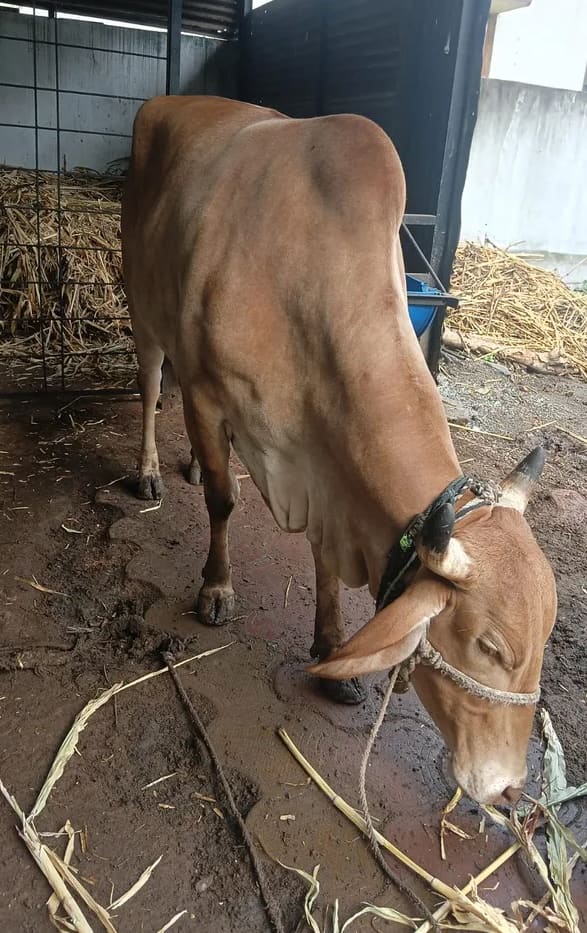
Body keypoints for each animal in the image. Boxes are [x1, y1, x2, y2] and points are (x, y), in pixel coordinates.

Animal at [121, 96, 557, 806]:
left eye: (546, 635)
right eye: (489, 646)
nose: (509, 790)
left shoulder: (326, 470)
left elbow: (323, 561)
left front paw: (330, 652)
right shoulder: (213, 398)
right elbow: (223, 500)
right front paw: (216, 588)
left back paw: (183, 463)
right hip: (143, 305)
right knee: (155, 384)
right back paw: (153, 469)